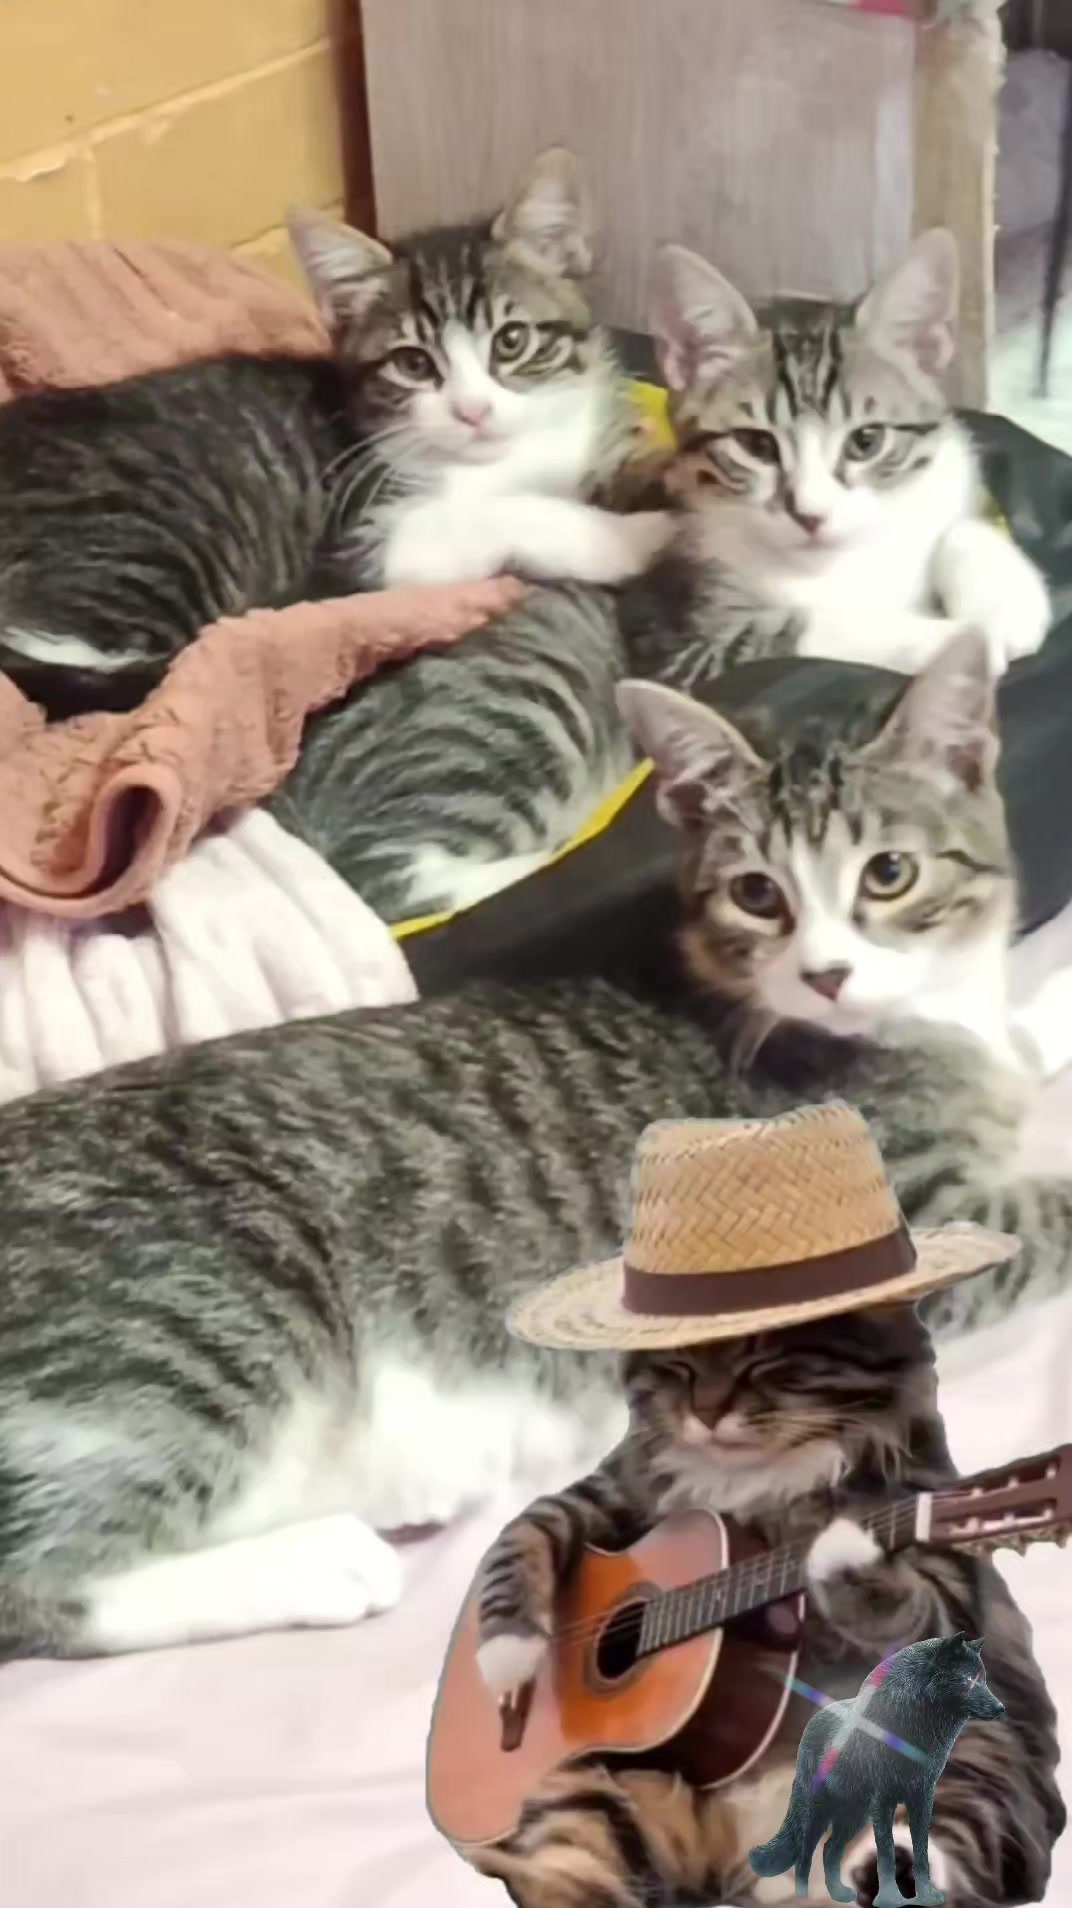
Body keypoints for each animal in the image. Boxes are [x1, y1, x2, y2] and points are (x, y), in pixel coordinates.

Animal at [749, 1632, 1006, 1906]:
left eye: (984, 1678)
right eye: (968, 1679)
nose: (1001, 1708)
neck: (914, 1730)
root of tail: (811, 1722)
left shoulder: (922, 1798)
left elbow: (921, 1852)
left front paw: (927, 1895)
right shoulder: (883, 1800)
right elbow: (887, 1853)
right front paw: (891, 1899)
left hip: (854, 1816)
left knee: (830, 1849)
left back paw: (839, 1894)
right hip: (819, 1813)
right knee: (805, 1853)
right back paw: (803, 1898)